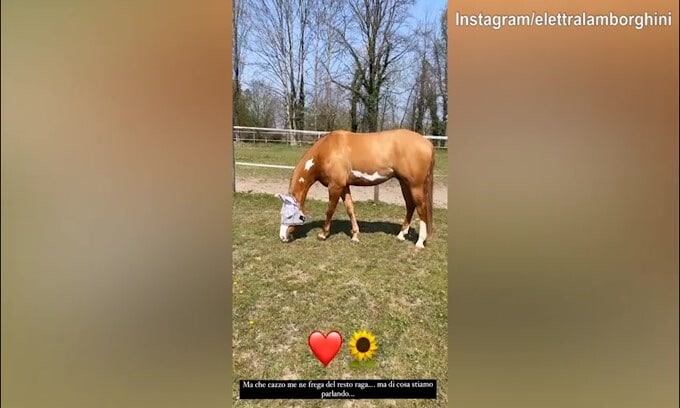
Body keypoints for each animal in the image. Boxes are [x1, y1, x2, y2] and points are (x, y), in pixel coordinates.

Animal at [275, 128, 435, 248]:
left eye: (289, 215)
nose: (282, 237)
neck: (326, 151)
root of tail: (428, 143)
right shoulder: (344, 186)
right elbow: (350, 209)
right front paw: (355, 235)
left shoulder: (335, 186)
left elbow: (330, 210)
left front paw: (323, 234)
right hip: (404, 183)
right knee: (410, 206)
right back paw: (401, 235)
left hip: (415, 185)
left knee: (421, 208)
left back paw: (420, 242)